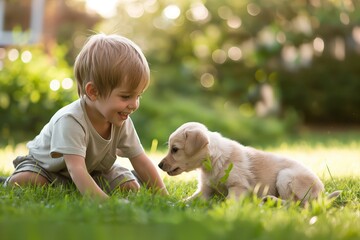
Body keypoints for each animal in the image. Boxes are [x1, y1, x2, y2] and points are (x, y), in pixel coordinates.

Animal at [158, 123, 340, 203]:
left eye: (175, 149)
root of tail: (322, 193)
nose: (159, 165)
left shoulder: (238, 187)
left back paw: (270, 200)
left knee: (296, 204)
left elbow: (229, 200)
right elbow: (188, 200)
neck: (213, 161)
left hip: (285, 176)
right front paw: (174, 204)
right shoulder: (204, 191)